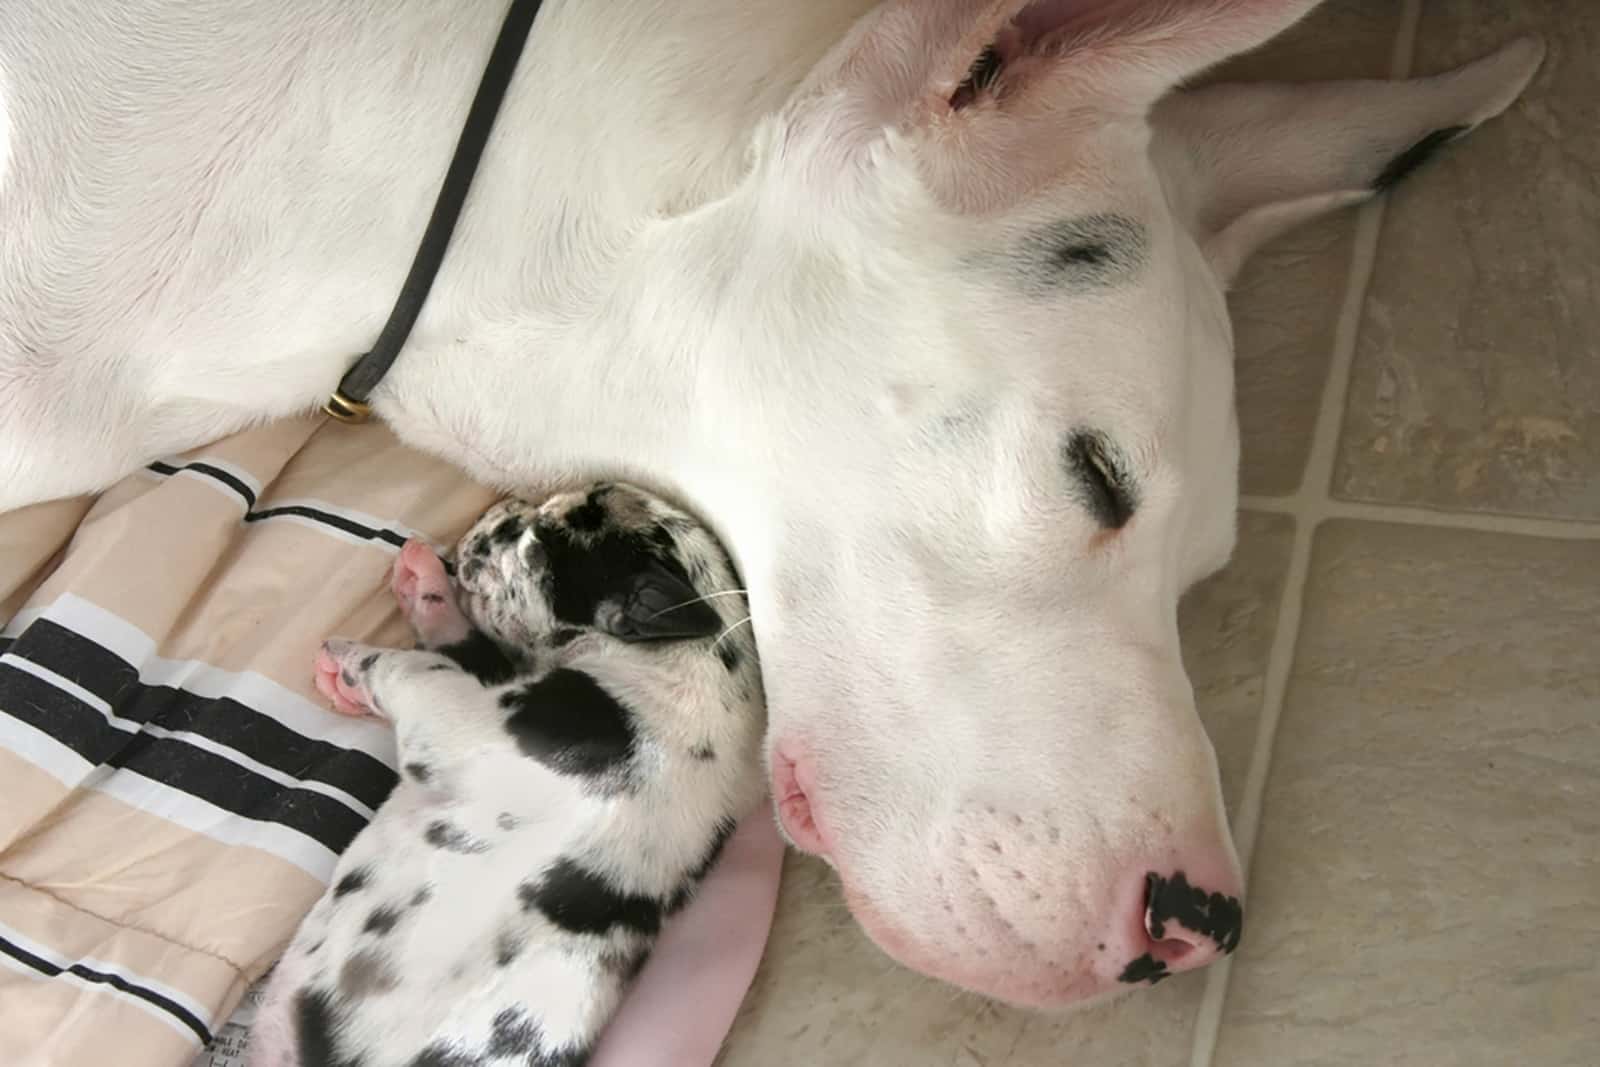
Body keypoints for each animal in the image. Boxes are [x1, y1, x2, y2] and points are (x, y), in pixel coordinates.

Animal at [249, 486, 768, 1067]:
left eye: (532, 539)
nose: (504, 508)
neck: (675, 652)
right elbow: (459, 645)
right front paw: (426, 587)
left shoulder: (456, 717)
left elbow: (409, 668)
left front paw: (350, 663)